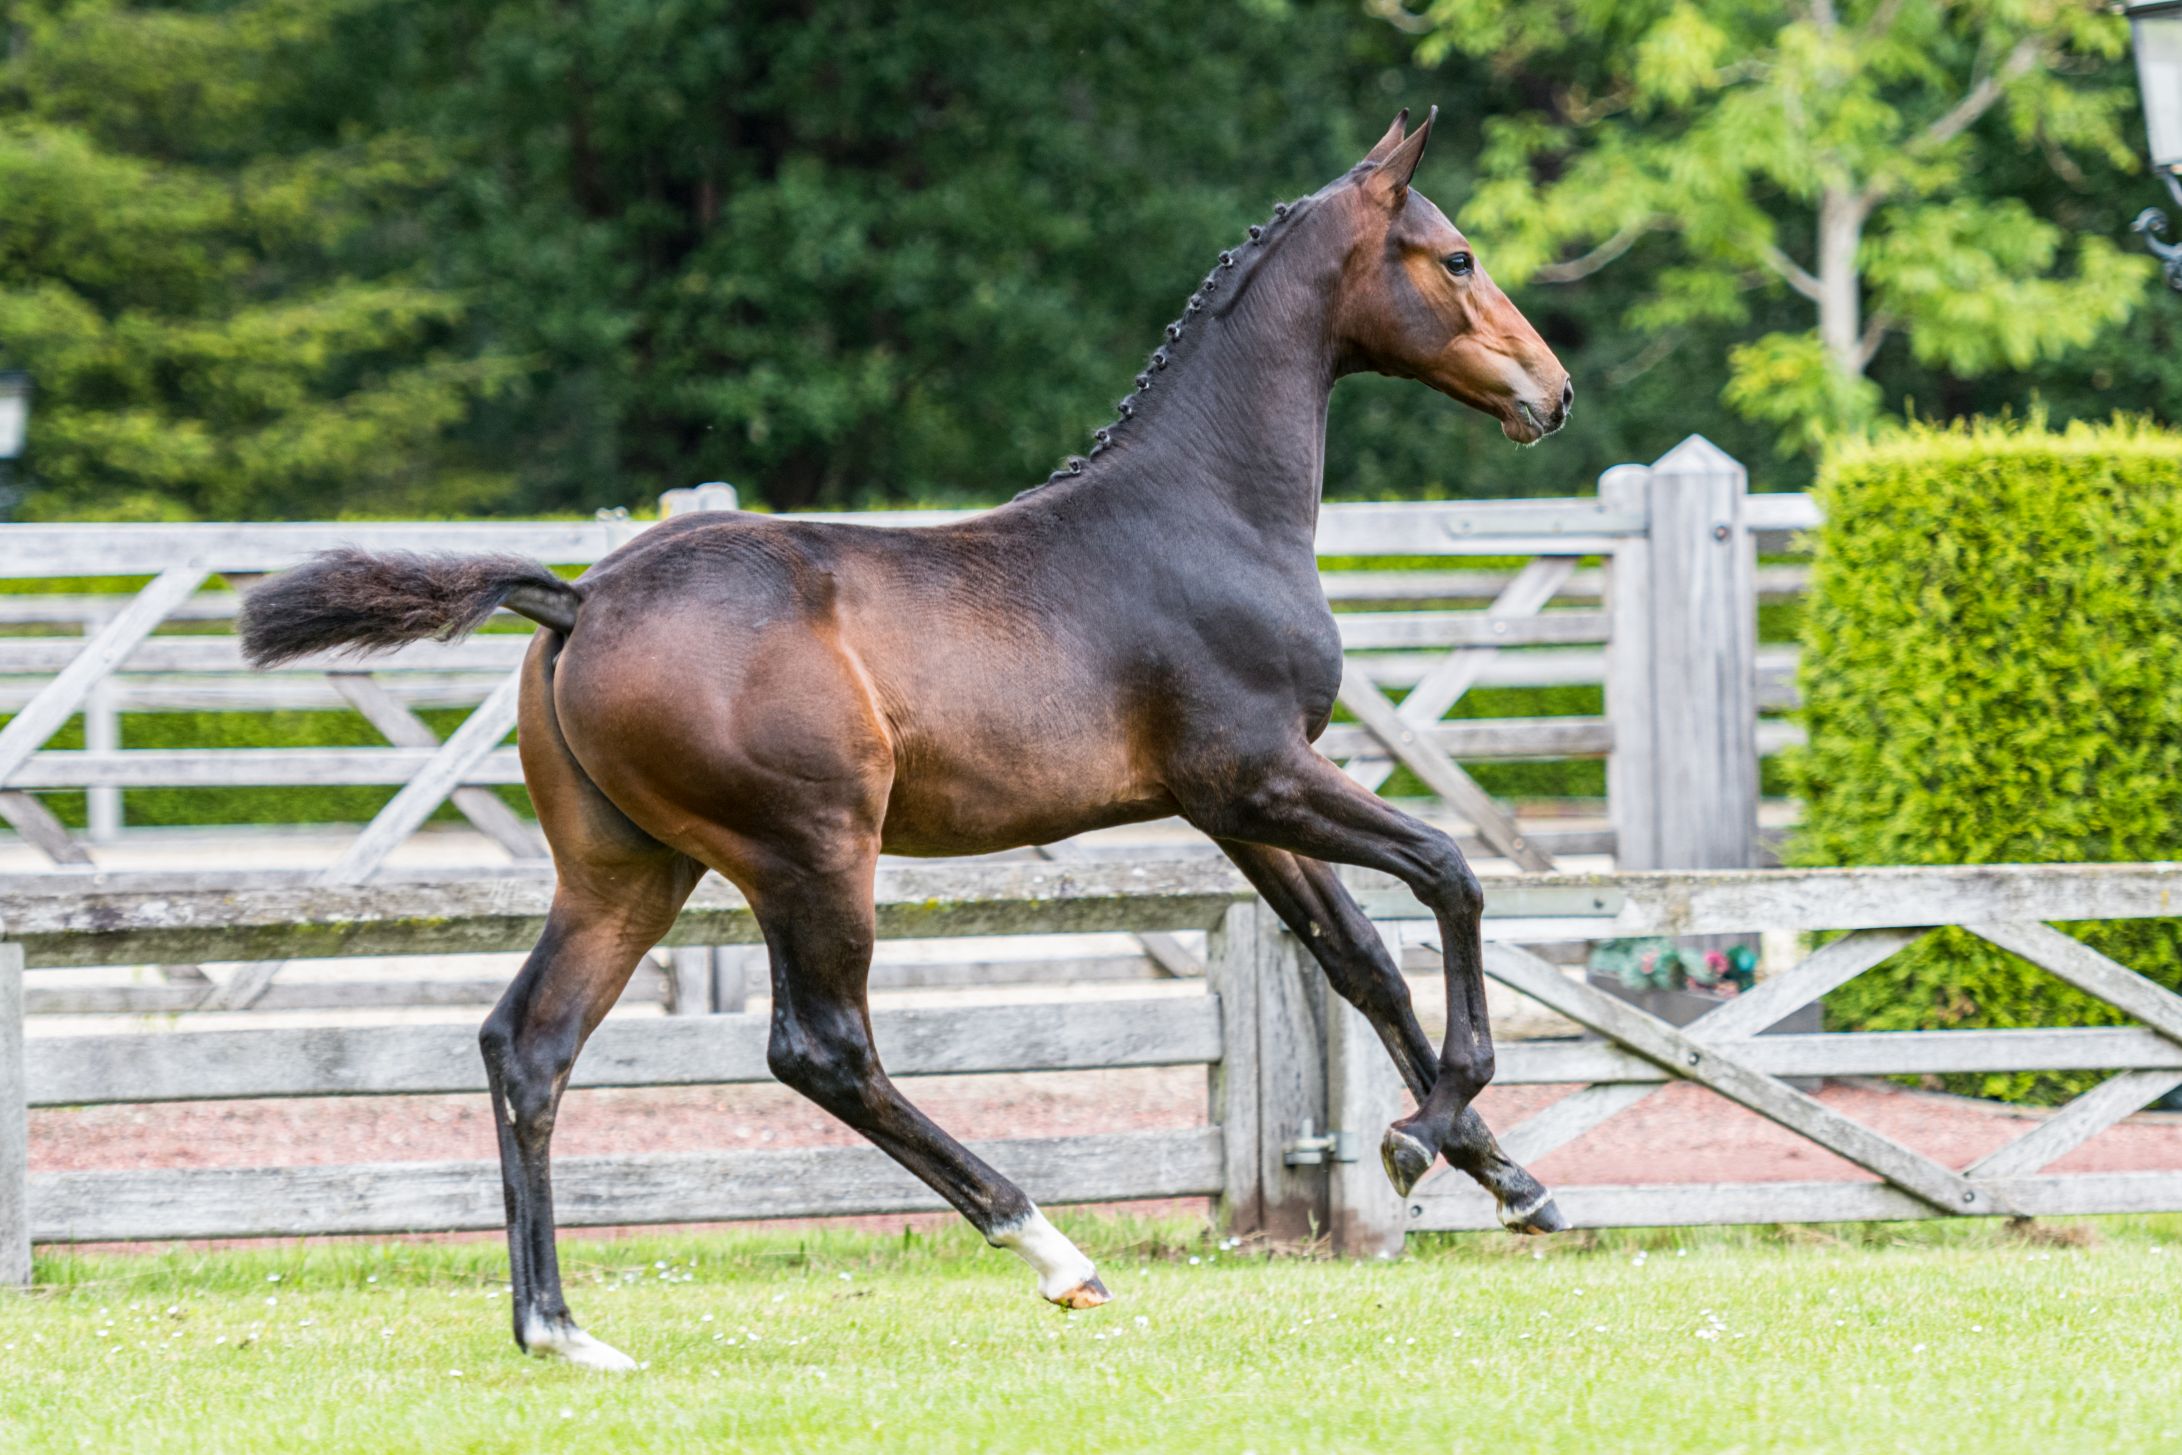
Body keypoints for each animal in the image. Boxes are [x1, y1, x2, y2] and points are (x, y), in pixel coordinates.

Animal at [237, 107, 1574, 1371]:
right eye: (1457, 257)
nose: (1550, 392)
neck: (1205, 514)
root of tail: (579, 600)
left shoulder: (1237, 809)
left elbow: (1361, 960)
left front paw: (1506, 1180)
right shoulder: (1257, 777)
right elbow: (1449, 876)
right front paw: (1420, 1137)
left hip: (626, 870)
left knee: (531, 1046)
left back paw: (560, 1331)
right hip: (813, 850)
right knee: (822, 1050)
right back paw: (1052, 1251)